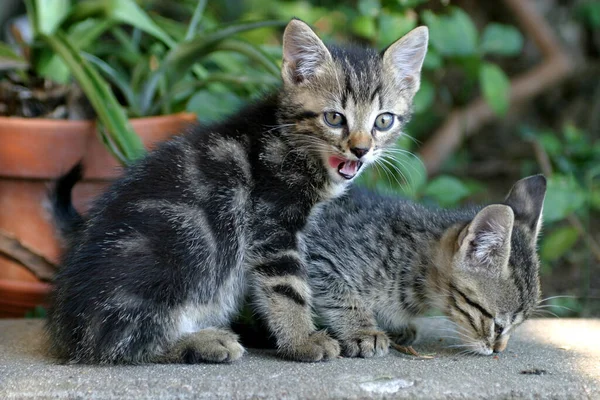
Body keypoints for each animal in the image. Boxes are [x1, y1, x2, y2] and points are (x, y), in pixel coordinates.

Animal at [49, 20, 428, 364]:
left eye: (383, 120)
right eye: (334, 118)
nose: (361, 150)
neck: (290, 142)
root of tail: (71, 328)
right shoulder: (271, 224)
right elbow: (288, 288)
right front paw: (303, 341)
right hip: (183, 252)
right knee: (117, 342)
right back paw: (204, 342)